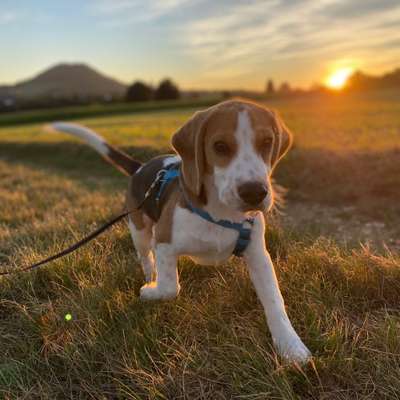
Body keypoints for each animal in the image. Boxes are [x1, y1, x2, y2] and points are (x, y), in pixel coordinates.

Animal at [50, 99, 312, 362]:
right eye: (220, 146)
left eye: (267, 142)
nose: (254, 193)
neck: (220, 213)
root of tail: (141, 167)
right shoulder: (164, 241)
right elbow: (169, 287)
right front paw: (150, 292)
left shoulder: (258, 255)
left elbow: (275, 300)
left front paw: (290, 345)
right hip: (139, 230)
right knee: (146, 258)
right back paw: (150, 279)